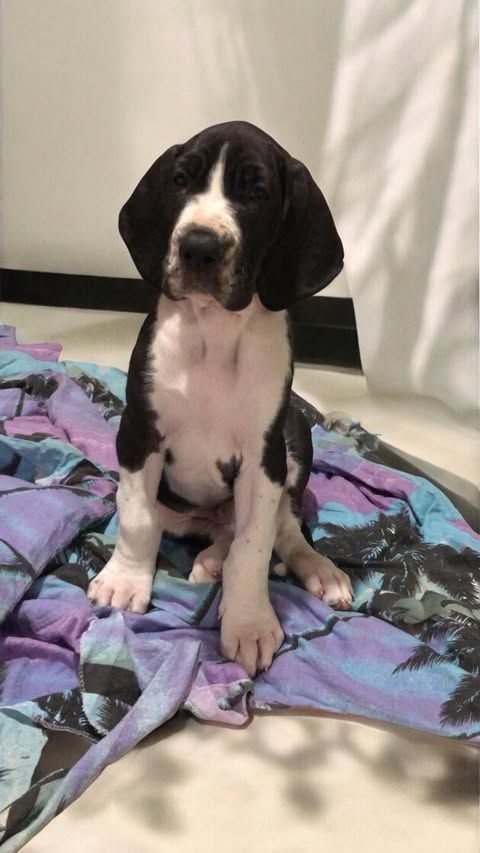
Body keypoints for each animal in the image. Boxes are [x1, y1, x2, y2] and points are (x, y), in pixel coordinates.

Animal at [87, 121, 353, 676]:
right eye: (181, 180)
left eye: (256, 193)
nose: (198, 247)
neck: (213, 330)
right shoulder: (139, 432)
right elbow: (136, 519)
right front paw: (124, 581)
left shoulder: (262, 458)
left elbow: (254, 546)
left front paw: (248, 623)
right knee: (192, 526)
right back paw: (210, 556)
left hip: (295, 433)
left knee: (278, 528)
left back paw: (313, 569)